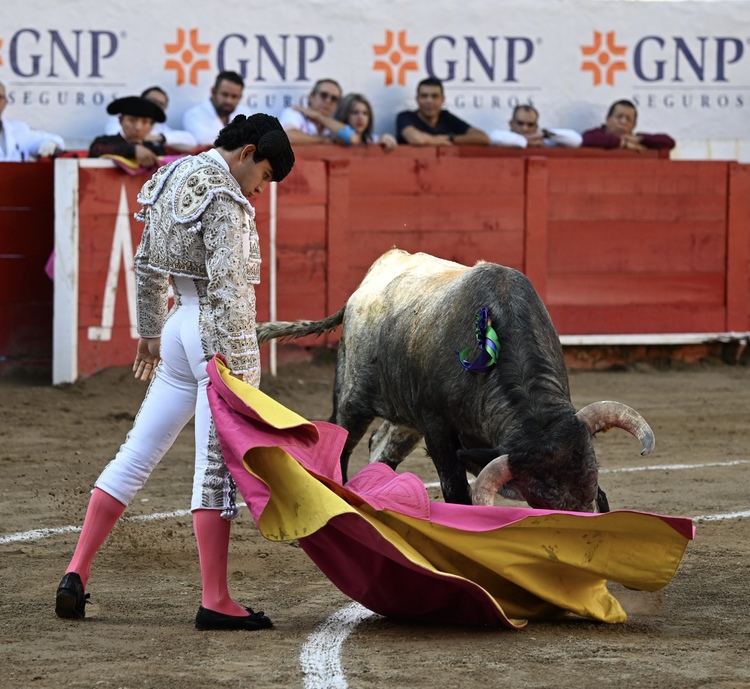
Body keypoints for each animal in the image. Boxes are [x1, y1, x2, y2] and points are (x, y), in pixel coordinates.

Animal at [256, 249, 654, 512]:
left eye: (589, 484)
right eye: (542, 503)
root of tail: (363, 287)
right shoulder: (439, 431)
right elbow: (458, 493)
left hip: (406, 415)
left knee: (382, 446)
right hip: (353, 398)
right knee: (341, 444)